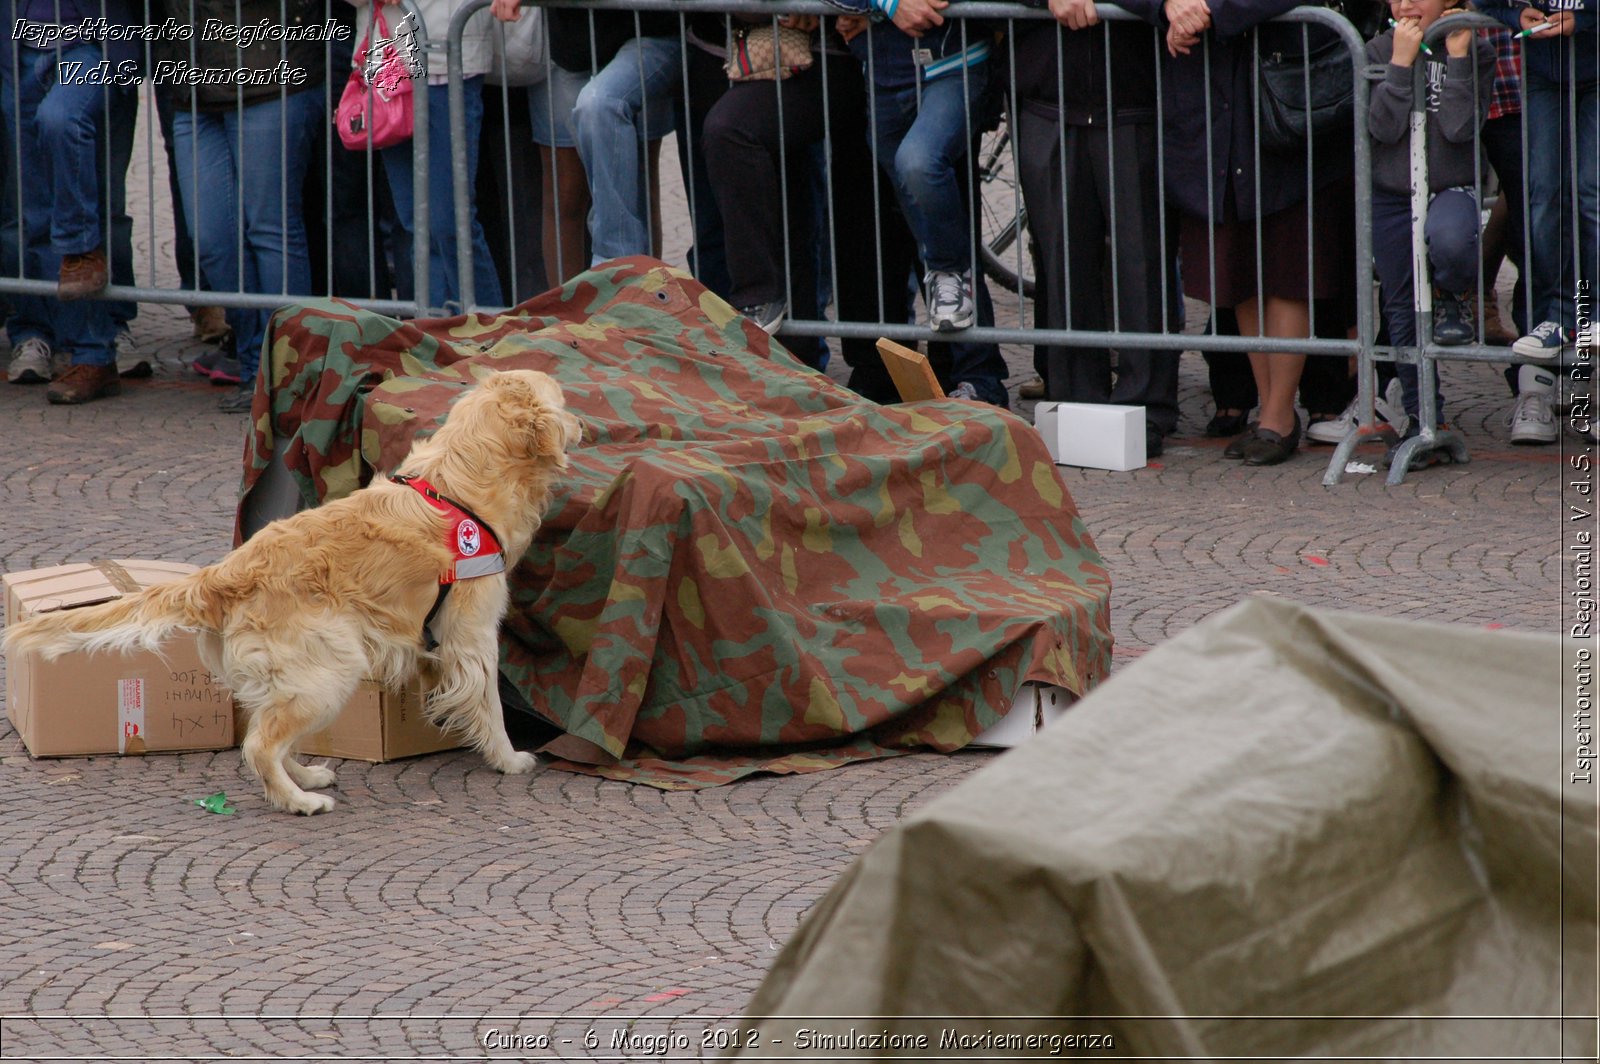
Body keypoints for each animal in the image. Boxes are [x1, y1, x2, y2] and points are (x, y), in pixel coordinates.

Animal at [4, 368, 582, 812]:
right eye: (562, 398)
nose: (583, 423)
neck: (462, 479)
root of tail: (221, 575)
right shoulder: (472, 636)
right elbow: (490, 705)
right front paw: (509, 759)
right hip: (329, 670)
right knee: (260, 745)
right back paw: (298, 800)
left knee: (273, 735)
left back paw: (305, 777)